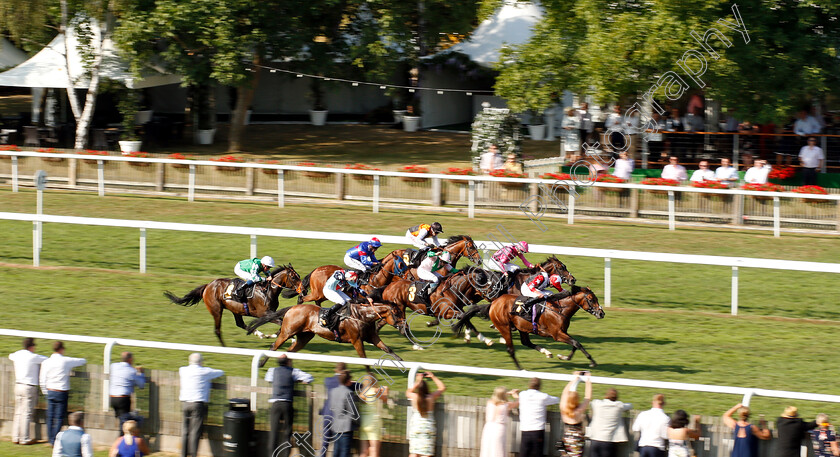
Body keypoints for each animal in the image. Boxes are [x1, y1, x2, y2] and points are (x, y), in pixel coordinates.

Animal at [161, 266, 302, 344]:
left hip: (235, 309)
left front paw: (286, 337)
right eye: (294, 277)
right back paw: (224, 347)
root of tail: (208, 285)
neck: (267, 291)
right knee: (217, 330)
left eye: (299, 276)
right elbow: (281, 321)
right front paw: (278, 336)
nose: (304, 289)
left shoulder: (271, 313)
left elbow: (283, 321)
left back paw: (259, 334)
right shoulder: (264, 313)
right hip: (216, 310)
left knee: (240, 324)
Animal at [246, 302, 406, 366]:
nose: (404, 327)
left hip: (304, 337)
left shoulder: (372, 336)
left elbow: (388, 349)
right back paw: (261, 363)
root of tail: (292, 308)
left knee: (290, 351)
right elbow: (363, 358)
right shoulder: (356, 340)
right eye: (397, 313)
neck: (362, 316)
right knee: (274, 346)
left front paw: (402, 362)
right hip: (287, 332)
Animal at [452, 284, 604, 370]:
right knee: (511, 349)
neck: (560, 309)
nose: (601, 313)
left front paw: (564, 357)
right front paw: (592, 362)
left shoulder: (563, 332)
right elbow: (576, 343)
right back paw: (520, 368)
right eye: (591, 299)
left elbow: (575, 344)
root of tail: (493, 303)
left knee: (526, 342)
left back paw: (546, 352)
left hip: (522, 328)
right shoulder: (557, 334)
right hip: (504, 326)